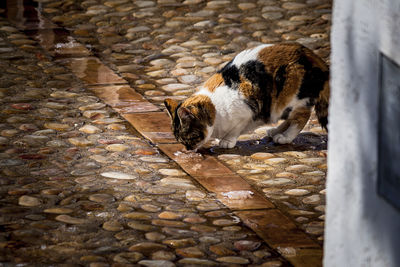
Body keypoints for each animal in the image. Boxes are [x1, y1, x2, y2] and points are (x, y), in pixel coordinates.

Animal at [164, 44, 330, 152]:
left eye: (189, 138)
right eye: (179, 140)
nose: (187, 149)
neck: (215, 110)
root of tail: (314, 57)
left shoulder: (245, 113)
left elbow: (235, 129)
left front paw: (227, 141)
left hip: (293, 99)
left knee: (301, 117)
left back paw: (285, 137)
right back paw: (275, 131)